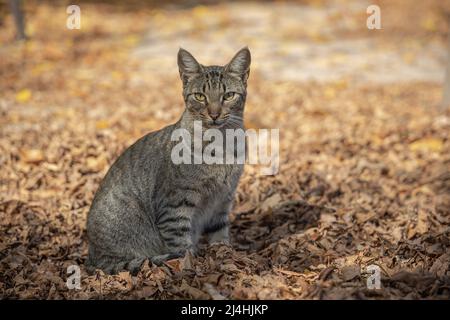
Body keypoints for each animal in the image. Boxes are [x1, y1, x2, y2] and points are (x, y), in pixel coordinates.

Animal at [86, 47, 251, 276]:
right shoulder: (175, 204)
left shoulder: (223, 198)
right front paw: (193, 267)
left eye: (228, 95)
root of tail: (92, 258)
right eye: (200, 96)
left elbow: (220, 234)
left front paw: (224, 254)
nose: (214, 114)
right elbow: (182, 247)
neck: (222, 144)